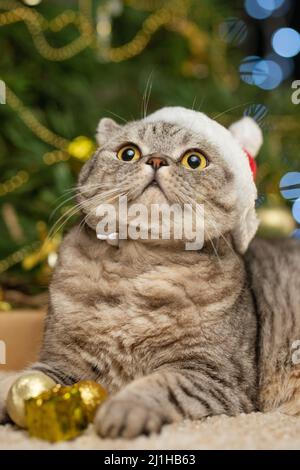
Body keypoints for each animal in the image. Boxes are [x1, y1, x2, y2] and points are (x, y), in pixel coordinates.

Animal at [0, 105, 300, 436]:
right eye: (128, 153)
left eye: (194, 160)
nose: (156, 159)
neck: (139, 266)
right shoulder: (63, 360)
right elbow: (23, 379)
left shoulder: (214, 371)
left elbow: (162, 385)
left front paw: (122, 408)